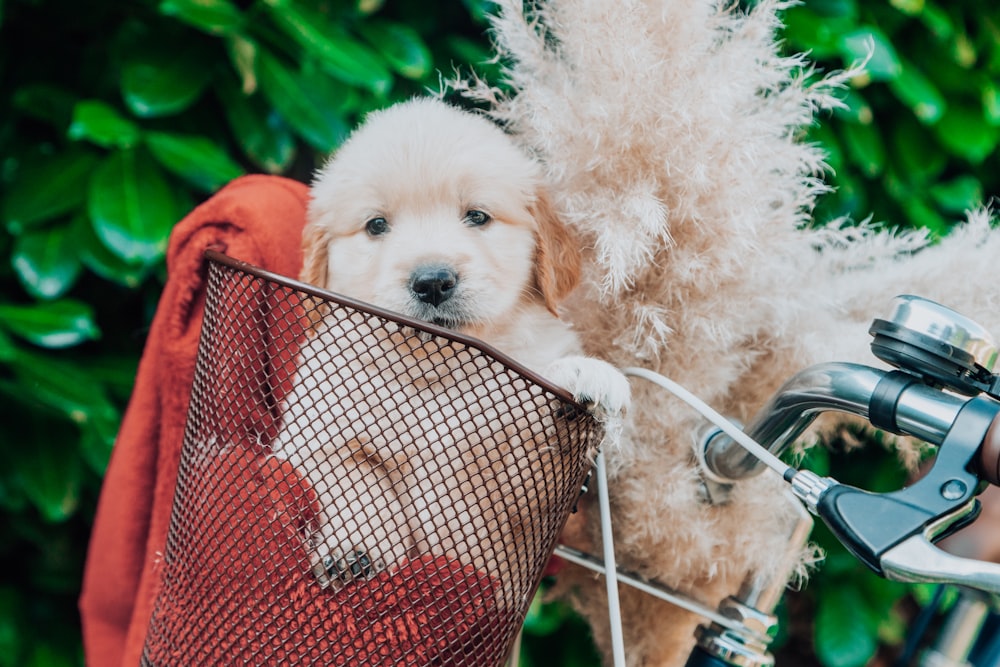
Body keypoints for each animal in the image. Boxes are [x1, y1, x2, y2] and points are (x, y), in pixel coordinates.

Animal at [266, 96, 624, 592]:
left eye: (477, 216)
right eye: (376, 225)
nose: (433, 281)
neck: (438, 369)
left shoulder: (529, 509)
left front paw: (583, 376)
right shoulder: (307, 436)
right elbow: (355, 474)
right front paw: (352, 549)